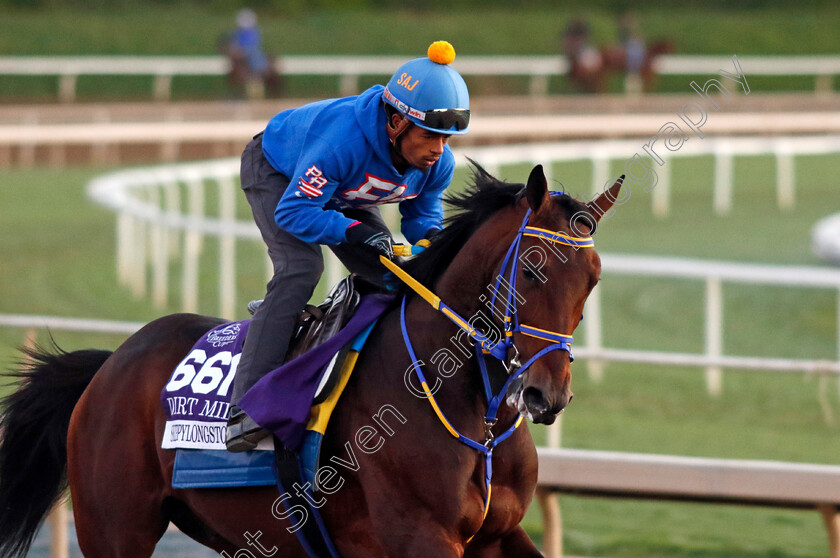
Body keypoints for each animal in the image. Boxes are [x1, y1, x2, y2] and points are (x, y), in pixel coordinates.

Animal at [0, 164, 616, 556]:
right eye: (532, 270)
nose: (546, 394)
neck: (470, 410)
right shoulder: (420, 535)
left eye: (593, 279)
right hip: (115, 527)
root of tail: (110, 365)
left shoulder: (498, 533)